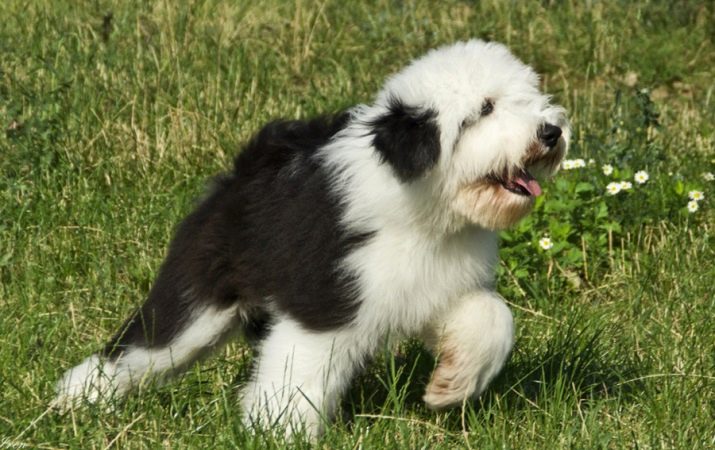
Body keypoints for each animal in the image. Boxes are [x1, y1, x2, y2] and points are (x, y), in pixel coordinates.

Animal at [54, 39, 569, 437]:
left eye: (528, 97)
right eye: (483, 110)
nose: (551, 131)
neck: (423, 209)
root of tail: (246, 168)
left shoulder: (436, 287)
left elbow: (491, 317)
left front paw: (451, 386)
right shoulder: (324, 301)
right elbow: (300, 368)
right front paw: (277, 432)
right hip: (198, 299)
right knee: (136, 351)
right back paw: (73, 403)